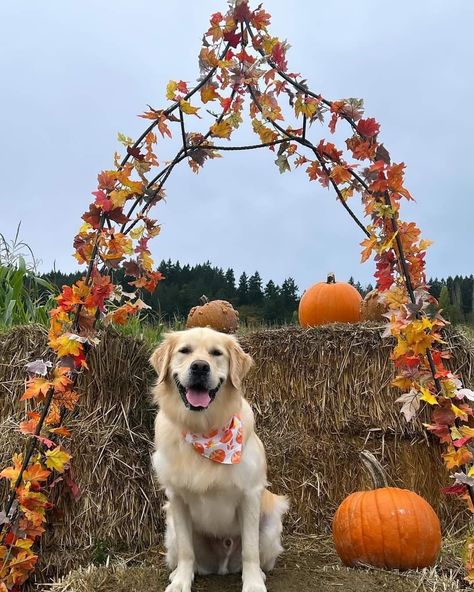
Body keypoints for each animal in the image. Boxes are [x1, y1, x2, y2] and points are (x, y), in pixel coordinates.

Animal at [150, 326, 286, 592]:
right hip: (171, 529)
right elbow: (186, 551)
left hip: (271, 523)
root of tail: (222, 565)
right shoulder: (176, 497)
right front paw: (181, 582)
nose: (200, 367)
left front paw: (253, 584)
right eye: (185, 350)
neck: (204, 430)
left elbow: (250, 551)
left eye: (216, 353)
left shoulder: (250, 494)